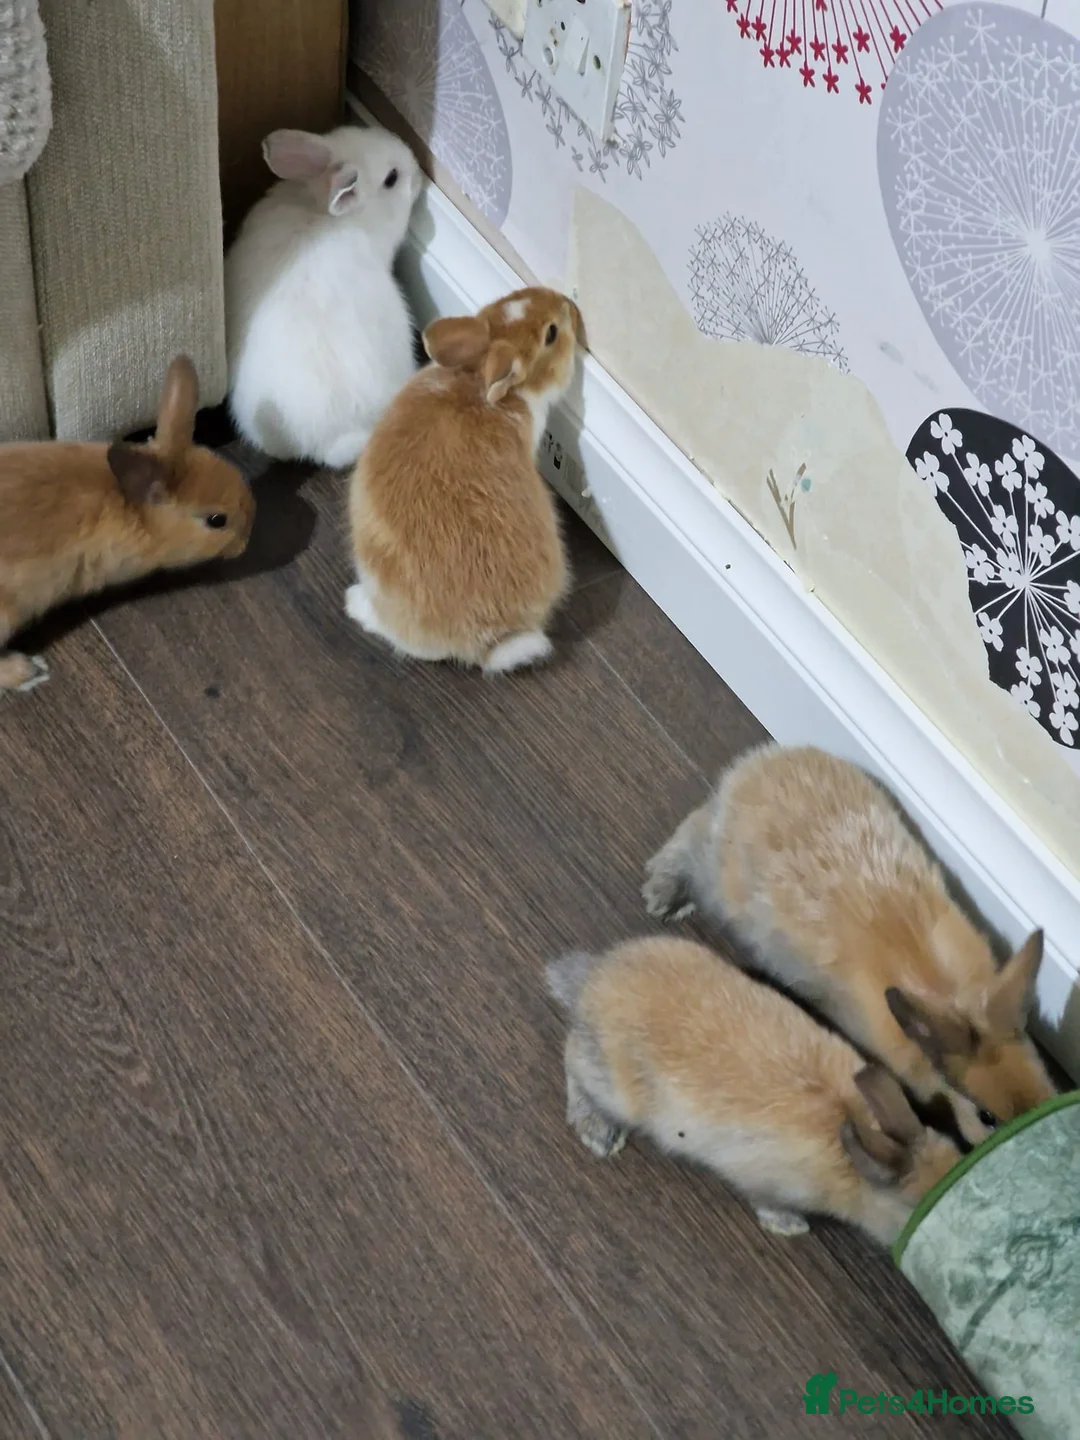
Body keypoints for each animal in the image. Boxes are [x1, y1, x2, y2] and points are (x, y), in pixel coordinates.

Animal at [546, 936, 961, 1247]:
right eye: (914, 1212)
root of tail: (592, 982)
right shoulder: (769, 1183)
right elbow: (765, 1202)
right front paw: (791, 1227)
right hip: (611, 1085)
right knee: (571, 1060)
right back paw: (599, 1134)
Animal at [642, 744, 1056, 1145]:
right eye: (986, 1117)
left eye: (1045, 1081)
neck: (950, 996)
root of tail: (755, 766)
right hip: (718, 878)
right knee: (691, 836)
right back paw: (663, 895)